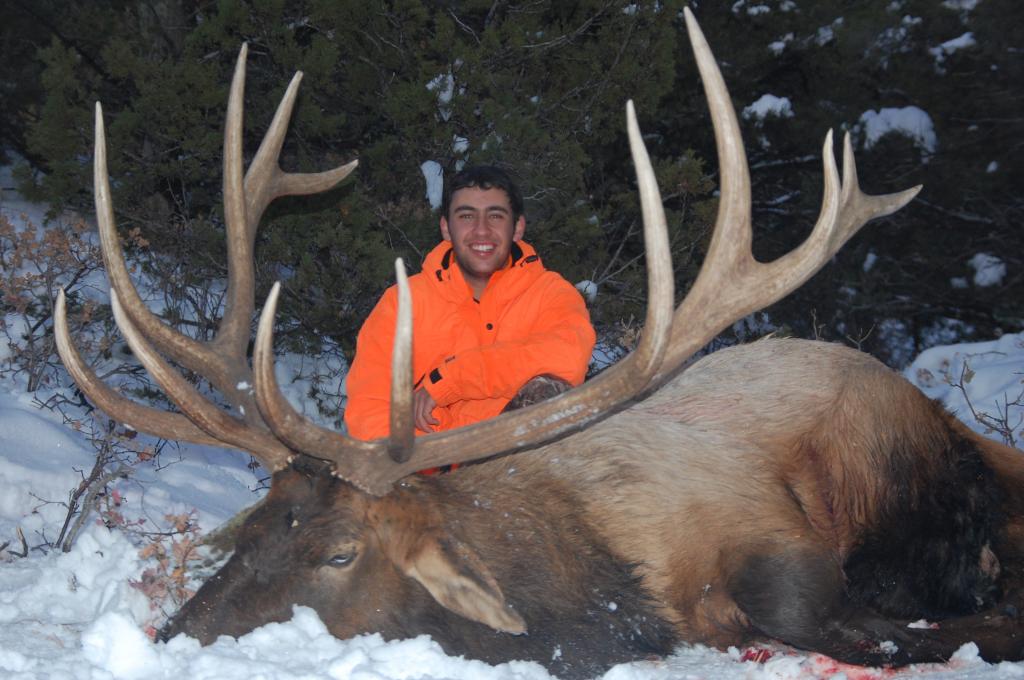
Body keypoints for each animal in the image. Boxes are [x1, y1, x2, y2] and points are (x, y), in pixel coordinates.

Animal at [54, 9, 1024, 679]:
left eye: (339, 553)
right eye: (255, 525)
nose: (173, 639)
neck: (599, 578)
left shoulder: (782, 558)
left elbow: (873, 628)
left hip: (923, 466)